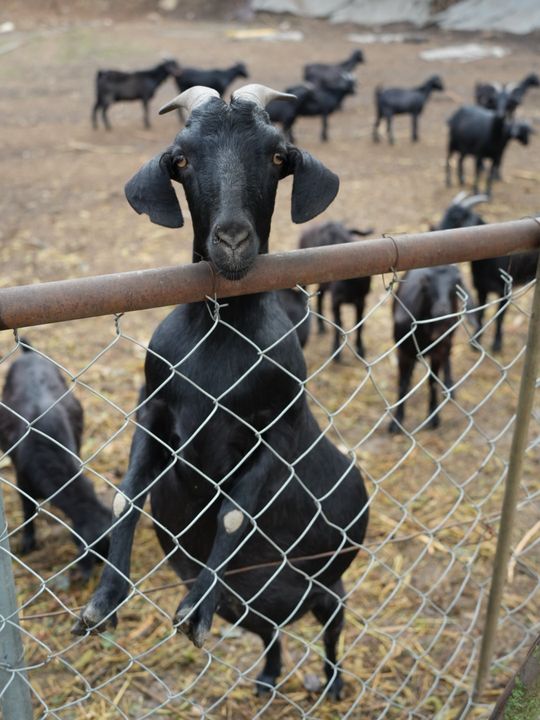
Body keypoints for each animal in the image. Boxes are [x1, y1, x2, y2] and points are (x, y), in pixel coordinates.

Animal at [74, 84, 369, 700]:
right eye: (181, 160)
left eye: (278, 156)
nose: (232, 240)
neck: (220, 331)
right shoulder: (155, 406)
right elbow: (126, 496)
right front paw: (102, 605)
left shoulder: (274, 423)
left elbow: (233, 515)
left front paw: (191, 612)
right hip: (250, 607)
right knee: (271, 632)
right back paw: (268, 678)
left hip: (328, 583)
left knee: (331, 623)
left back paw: (330, 683)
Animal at [388, 265, 471, 434]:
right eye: (426, 283)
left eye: (456, 283)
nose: (441, 312)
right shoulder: (402, 351)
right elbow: (402, 383)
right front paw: (396, 422)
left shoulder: (438, 350)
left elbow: (432, 381)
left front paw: (433, 418)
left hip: (450, 335)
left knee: (448, 355)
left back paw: (449, 386)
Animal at [438, 192, 538, 352]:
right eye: (446, 212)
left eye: (458, 217)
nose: (436, 228)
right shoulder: (481, 288)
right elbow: (480, 313)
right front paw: (476, 341)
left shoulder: (505, 290)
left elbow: (500, 318)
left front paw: (497, 344)